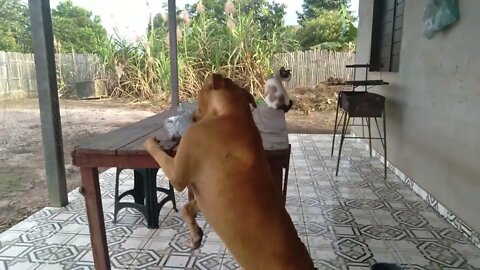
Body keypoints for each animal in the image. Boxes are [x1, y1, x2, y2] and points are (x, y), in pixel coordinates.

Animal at [142, 73, 316, 268]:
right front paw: (196, 234)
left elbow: (158, 153)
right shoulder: (204, 198)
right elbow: (187, 207)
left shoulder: (177, 174)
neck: (233, 115)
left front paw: (150, 143)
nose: (192, 116)